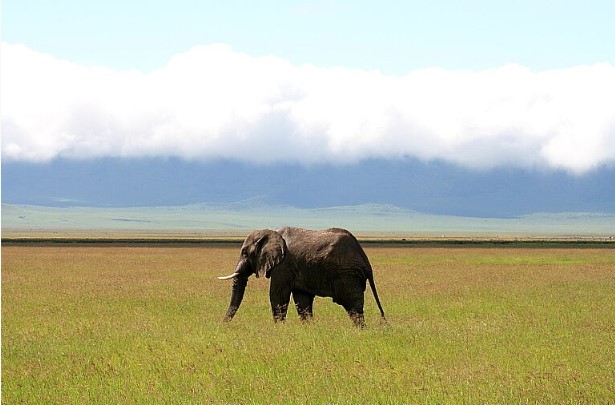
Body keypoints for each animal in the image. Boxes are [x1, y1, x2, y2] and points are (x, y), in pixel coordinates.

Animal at [219, 226, 388, 326]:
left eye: (244, 253)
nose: (222, 324)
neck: (271, 232)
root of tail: (365, 259)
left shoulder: (283, 265)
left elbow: (278, 295)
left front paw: (279, 328)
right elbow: (302, 299)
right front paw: (308, 328)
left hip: (347, 274)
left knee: (353, 305)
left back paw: (360, 330)